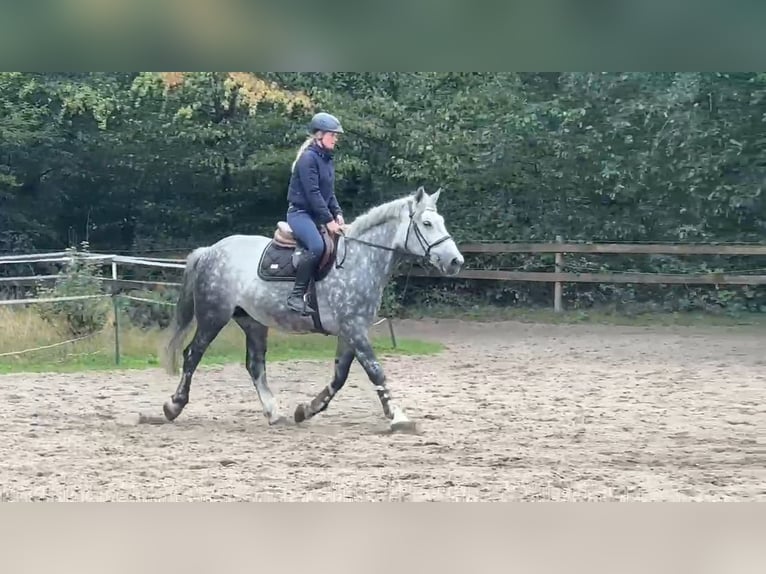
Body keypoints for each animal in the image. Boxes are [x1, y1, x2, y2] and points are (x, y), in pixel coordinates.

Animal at [159, 186, 464, 432]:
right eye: (427, 223)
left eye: (441, 222)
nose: (455, 261)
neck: (360, 258)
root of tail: (210, 250)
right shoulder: (354, 329)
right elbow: (375, 370)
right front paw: (398, 417)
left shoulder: (350, 332)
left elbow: (340, 376)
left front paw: (306, 410)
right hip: (213, 317)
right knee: (192, 355)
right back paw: (174, 405)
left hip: (253, 322)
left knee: (255, 365)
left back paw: (274, 413)